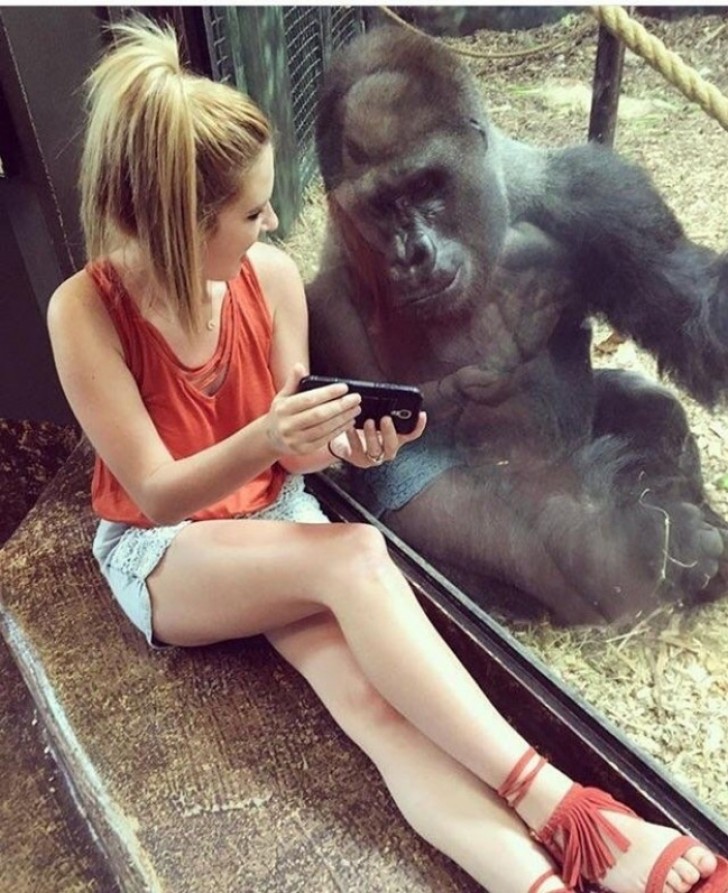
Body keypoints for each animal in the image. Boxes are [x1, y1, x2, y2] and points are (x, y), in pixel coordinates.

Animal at [302, 29, 728, 628]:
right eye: (381, 207)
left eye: (427, 185)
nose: (414, 253)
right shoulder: (329, 297)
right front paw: (639, 544)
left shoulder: (597, 192)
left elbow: (685, 306)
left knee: (647, 406)